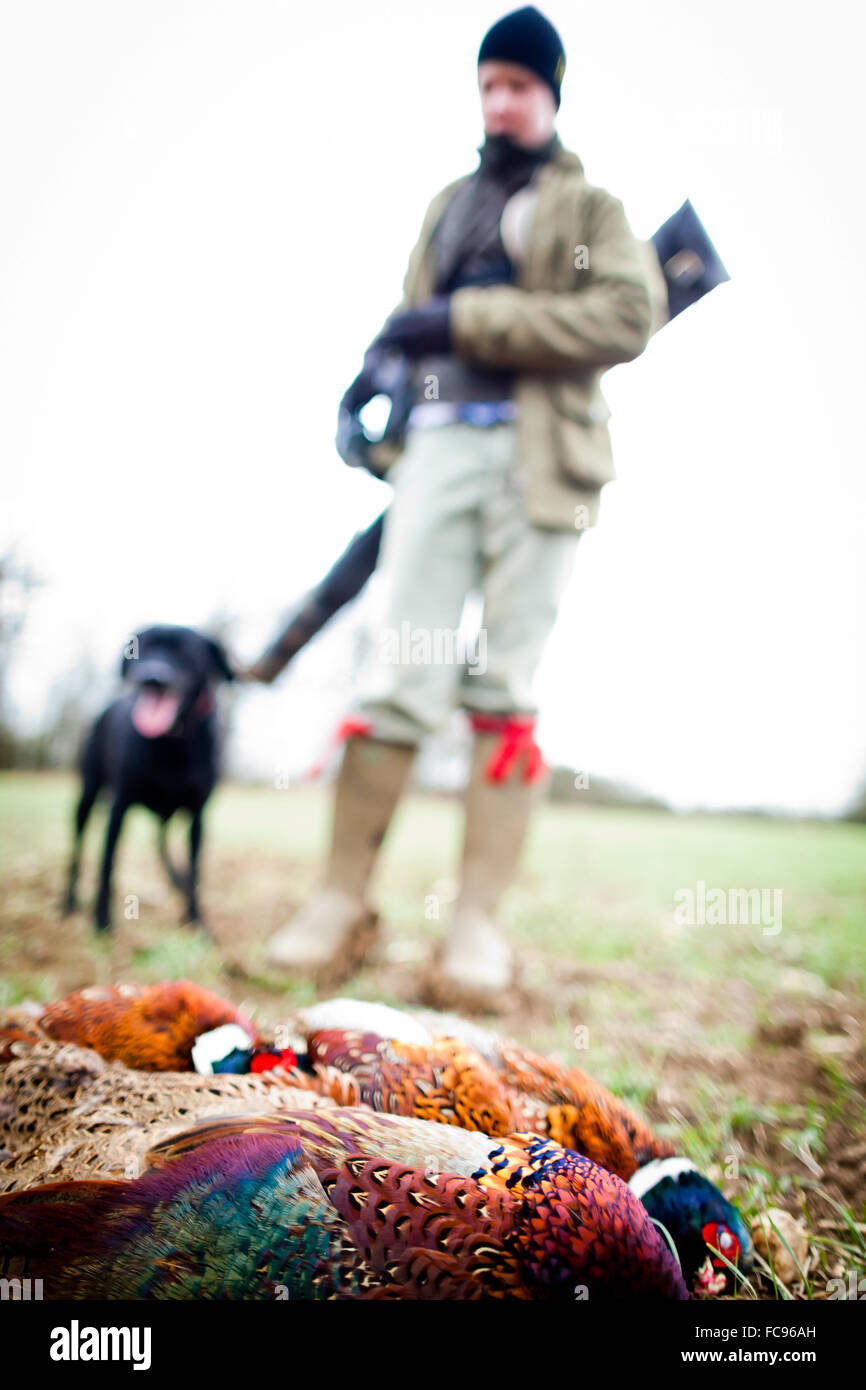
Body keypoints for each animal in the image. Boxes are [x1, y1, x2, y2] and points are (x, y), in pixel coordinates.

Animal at [62, 628, 234, 934]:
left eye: (187, 650)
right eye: (144, 646)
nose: (153, 677)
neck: (171, 739)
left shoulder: (197, 817)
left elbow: (195, 870)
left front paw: (196, 919)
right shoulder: (119, 807)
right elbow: (107, 863)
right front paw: (102, 919)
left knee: (161, 840)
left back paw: (176, 880)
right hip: (87, 795)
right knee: (78, 845)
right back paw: (69, 900)